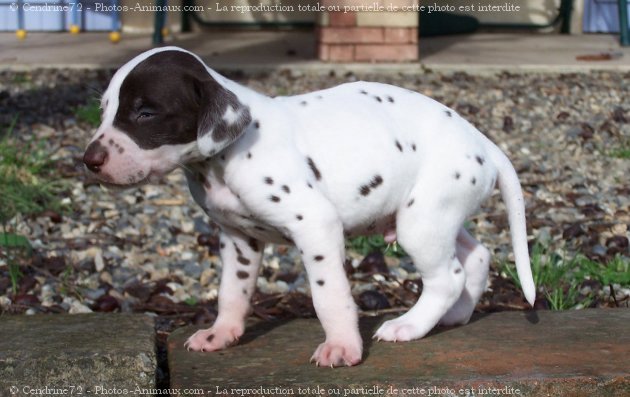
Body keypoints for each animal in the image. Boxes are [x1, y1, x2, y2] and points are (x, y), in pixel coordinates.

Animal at [82, 47, 540, 368]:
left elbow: (329, 296)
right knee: (476, 257)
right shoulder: (238, 240)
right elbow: (232, 292)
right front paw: (222, 333)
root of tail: (483, 142)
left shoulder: (315, 226)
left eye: (145, 112)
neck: (226, 157)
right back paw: (454, 317)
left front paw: (341, 346)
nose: (89, 160)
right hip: (435, 215)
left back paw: (408, 325)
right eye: (104, 110)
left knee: (448, 276)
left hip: (422, 224)